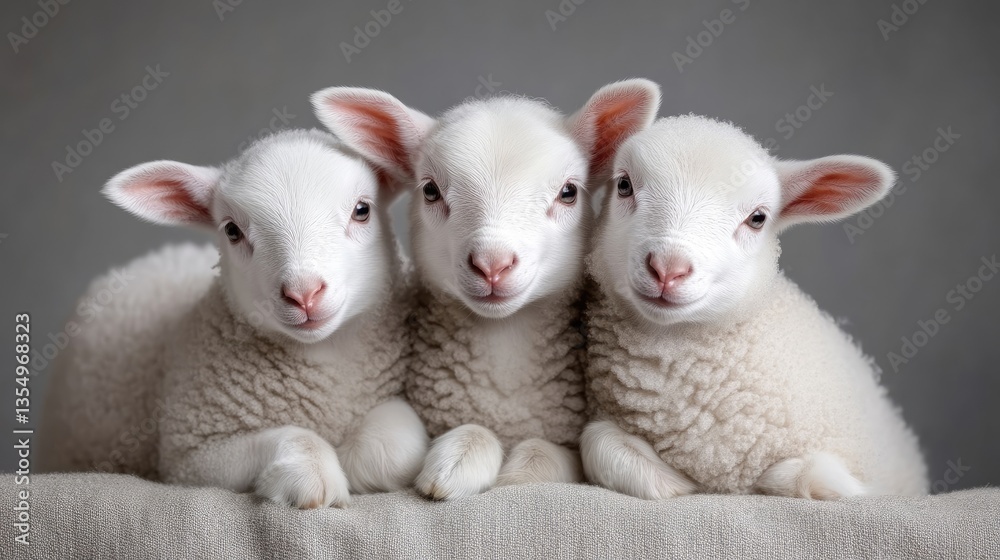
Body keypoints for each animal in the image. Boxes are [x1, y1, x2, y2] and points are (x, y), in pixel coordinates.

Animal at [39, 129, 429, 508]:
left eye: (362, 210)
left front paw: (347, 457)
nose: (304, 294)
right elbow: (296, 440)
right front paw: (315, 472)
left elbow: (394, 451)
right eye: (231, 231)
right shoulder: (192, 456)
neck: (325, 362)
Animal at [312, 80, 661, 499]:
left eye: (568, 192)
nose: (492, 264)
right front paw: (455, 464)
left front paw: (509, 473)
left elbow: (542, 455)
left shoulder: (567, 447)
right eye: (430, 191)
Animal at [581, 115, 928, 500]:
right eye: (624, 185)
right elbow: (596, 442)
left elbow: (806, 477)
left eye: (757, 218)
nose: (668, 269)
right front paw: (678, 483)